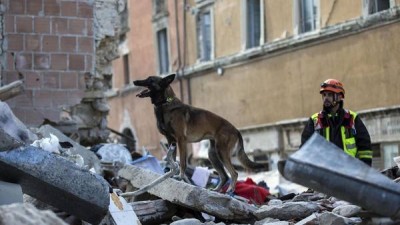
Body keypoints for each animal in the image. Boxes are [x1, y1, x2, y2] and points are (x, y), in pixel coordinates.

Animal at [133, 74, 268, 192]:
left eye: (150, 80)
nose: (134, 81)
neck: (165, 102)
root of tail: (236, 130)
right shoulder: (171, 141)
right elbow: (172, 160)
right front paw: (171, 174)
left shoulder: (181, 141)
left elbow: (182, 162)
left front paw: (180, 177)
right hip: (212, 154)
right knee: (224, 176)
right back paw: (217, 190)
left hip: (221, 152)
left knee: (234, 173)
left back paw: (230, 190)